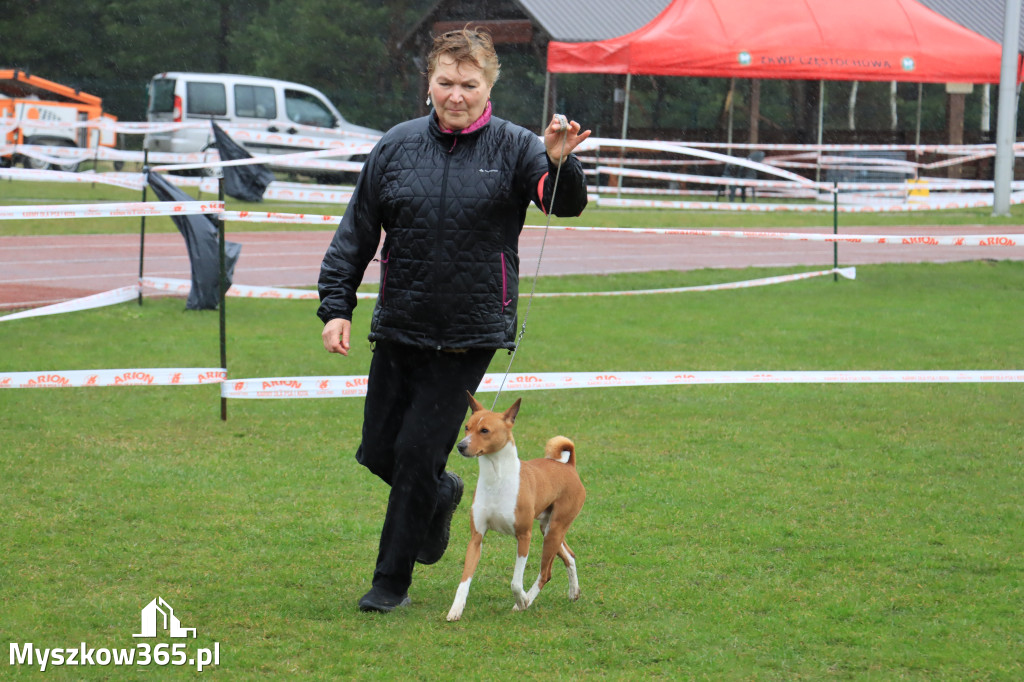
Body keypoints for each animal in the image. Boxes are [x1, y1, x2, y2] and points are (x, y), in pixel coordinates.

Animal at [446, 393, 585, 622]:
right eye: (467, 427)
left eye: (484, 431)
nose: (461, 446)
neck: (497, 478)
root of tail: (569, 466)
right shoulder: (476, 537)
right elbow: (464, 580)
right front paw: (456, 609)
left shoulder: (524, 535)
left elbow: (515, 581)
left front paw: (521, 600)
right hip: (548, 528)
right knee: (570, 556)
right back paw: (574, 591)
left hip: (554, 530)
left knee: (545, 573)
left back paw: (526, 601)